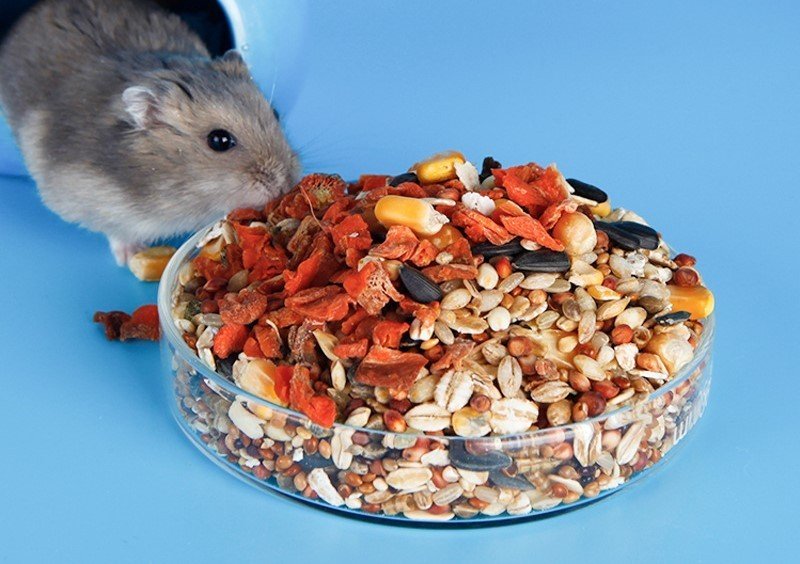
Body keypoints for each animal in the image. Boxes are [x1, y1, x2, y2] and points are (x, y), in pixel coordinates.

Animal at [0, 0, 300, 265]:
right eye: (219, 141)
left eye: (275, 112)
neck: (176, 186)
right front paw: (129, 256)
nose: (286, 184)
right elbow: (115, 230)